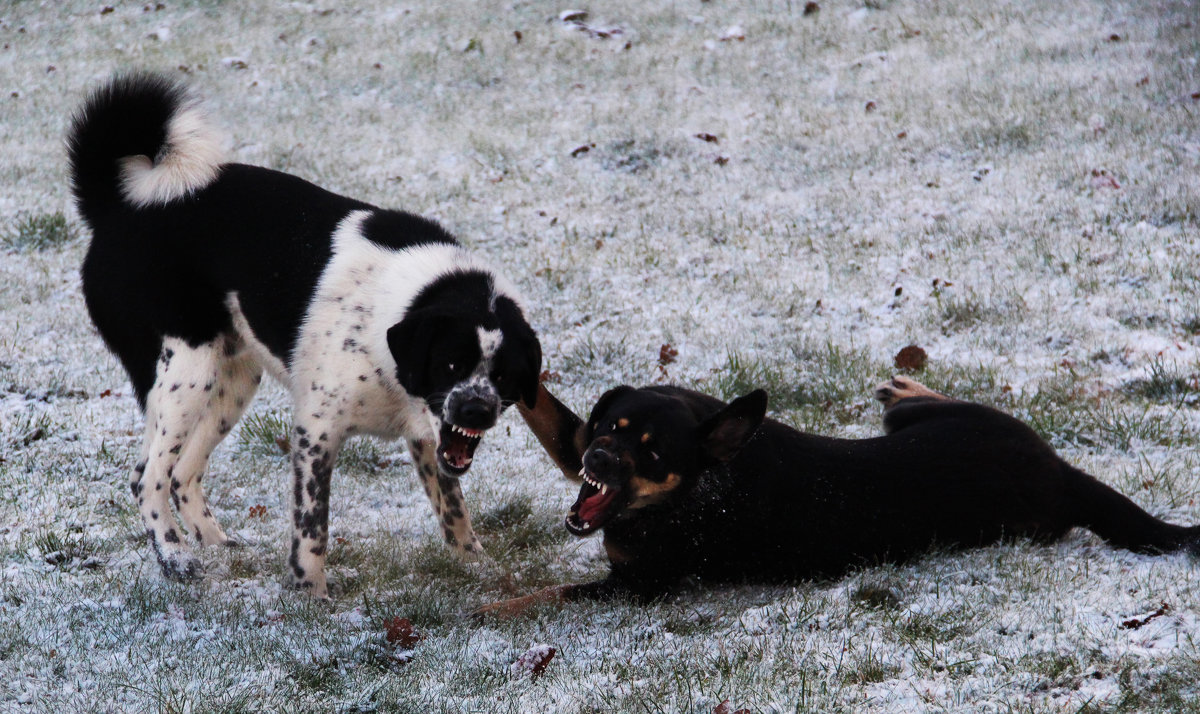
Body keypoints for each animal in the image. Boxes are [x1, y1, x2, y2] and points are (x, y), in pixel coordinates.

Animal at [68, 72, 542, 597]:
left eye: (503, 376)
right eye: (451, 363)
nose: (476, 411)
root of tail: (114, 210)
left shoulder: (428, 438)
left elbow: (453, 508)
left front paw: (477, 566)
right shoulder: (316, 432)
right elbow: (313, 524)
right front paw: (310, 592)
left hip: (231, 380)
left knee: (181, 474)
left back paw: (219, 546)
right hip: (185, 372)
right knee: (146, 477)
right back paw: (175, 557)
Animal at [475, 376, 1200, 619]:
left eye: (653, 454)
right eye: (609, 428)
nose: (596, 462)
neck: (697, 489)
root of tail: (1062, 472)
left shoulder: (637, 588)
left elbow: (549, 596)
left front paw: (488, 610)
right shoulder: (571, 440)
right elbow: (542, 405)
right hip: (933, 421)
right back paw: (906, 382)